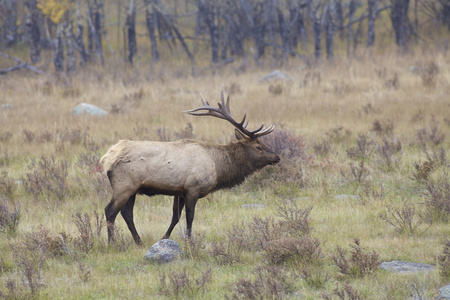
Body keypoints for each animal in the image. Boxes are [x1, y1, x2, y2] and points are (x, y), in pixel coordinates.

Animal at [100, 85, 280, 245]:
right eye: (258, 147)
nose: (277, 157)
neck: (218, 167)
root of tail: (106, 158)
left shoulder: (179, 191)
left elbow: (175, 217)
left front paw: (164, 237)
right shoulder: (193, 188)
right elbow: (190, 217)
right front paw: (189, 242)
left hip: (133, 189)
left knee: (127, 213)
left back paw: (139, 242)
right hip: (124, 185)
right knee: (110, 210)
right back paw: (112, 243)